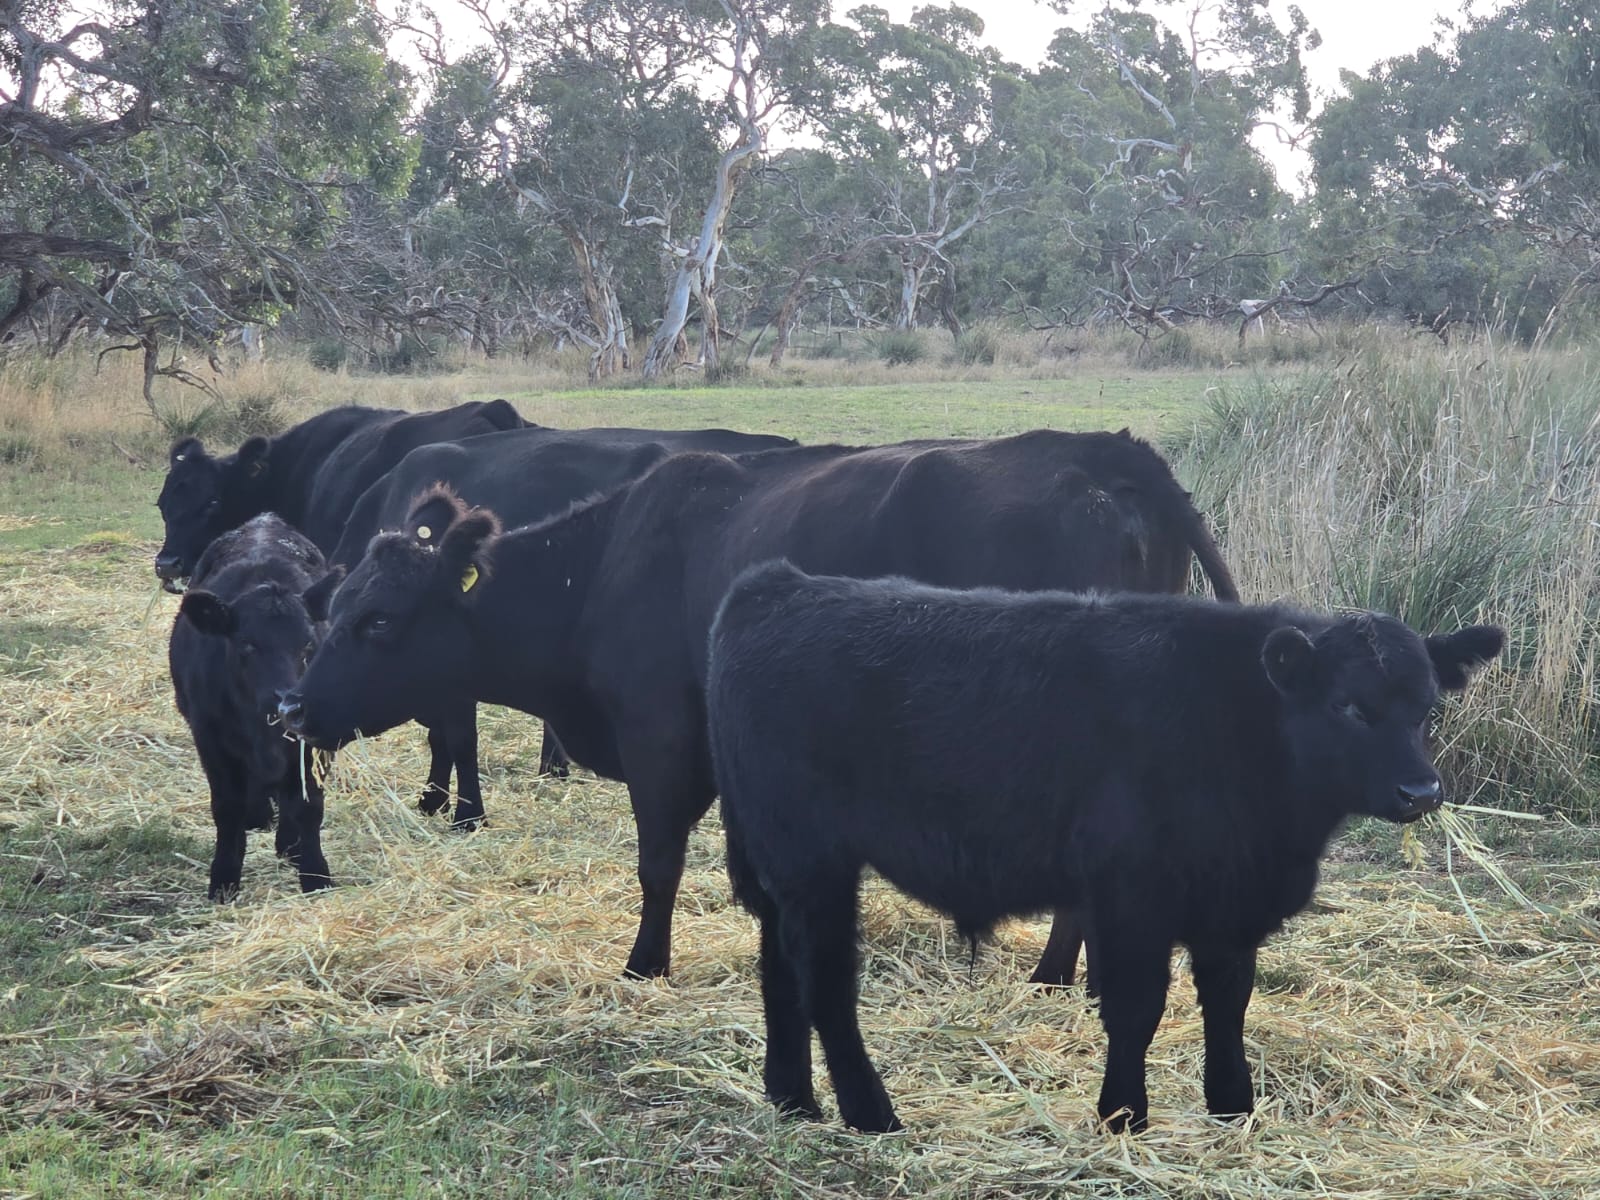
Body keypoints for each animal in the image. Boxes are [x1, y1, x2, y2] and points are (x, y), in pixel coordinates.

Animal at [169, 514, 338, 901]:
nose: (287, 700)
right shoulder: (210, 738)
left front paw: (314, 873)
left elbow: (308, 803)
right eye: (246, 645)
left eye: (308, 644)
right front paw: (224, 879)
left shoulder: (314, 740)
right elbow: (227, 807)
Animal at [706, 561, 1504, 1134]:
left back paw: (793, 1099)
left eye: (1428, 707)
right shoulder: (1133, 894)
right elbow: (1136, 1007)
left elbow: (1228, 1002)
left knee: (778, 970)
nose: (1421, 792)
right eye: (1349, 707)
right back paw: (871, 1114)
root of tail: (777, 584)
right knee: (825, 983)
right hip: (812, 860)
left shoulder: (1228, 904)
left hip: (782, 869)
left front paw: (1232, 1109)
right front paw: (1123, 1116)